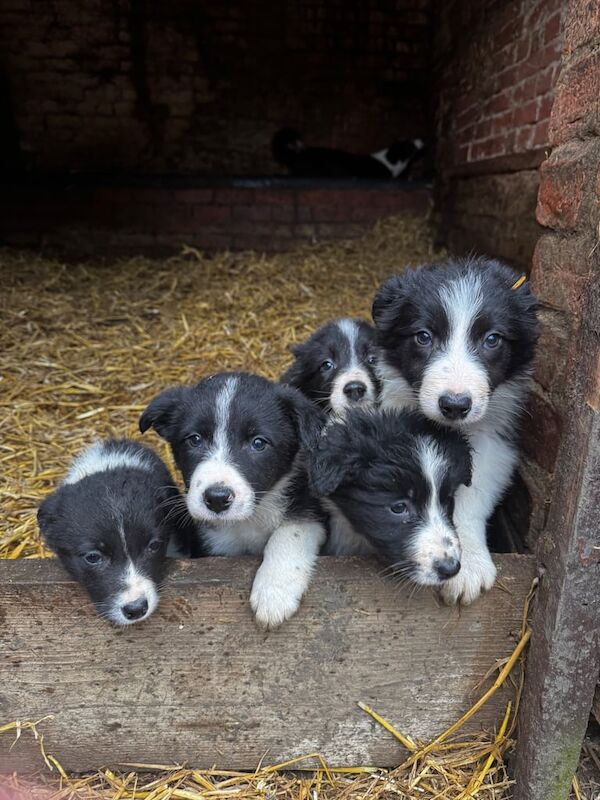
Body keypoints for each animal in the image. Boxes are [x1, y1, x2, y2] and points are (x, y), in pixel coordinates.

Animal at [139, 374, 328, 632]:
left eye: (258, 443)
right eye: (194, 439)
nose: (217, 499)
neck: (248, 520)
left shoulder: (308, 506)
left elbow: (290, 532)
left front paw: (274, 592)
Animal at [372, 260, 536, 604]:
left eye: (492, 339)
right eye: (423, 336)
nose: (455, 405)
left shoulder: (494, 441)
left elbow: (472, 495)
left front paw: (469, 564)